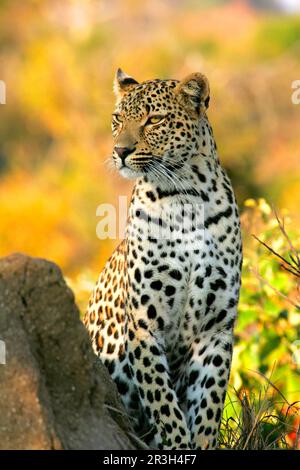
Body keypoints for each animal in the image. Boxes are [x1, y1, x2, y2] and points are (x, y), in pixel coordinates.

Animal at [83, 68, 243, 450]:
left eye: (153, 120)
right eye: (117, 119)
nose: (120, 151)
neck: (185, 195)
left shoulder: (215, 329)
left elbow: (208, 406)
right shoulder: (144, 324)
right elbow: (163, 402)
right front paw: (177, 444)